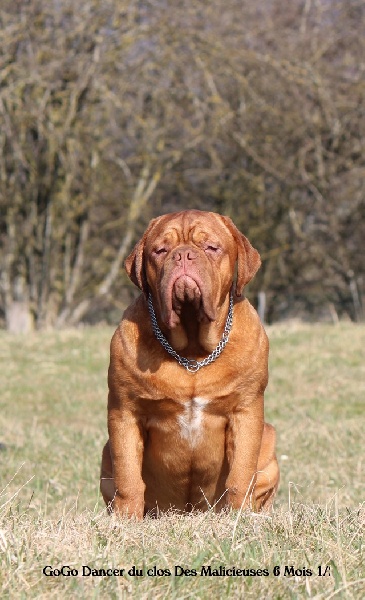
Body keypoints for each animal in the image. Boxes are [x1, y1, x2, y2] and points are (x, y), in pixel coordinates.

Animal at [99, 210, 278, 516]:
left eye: (211, 247)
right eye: (160, 250)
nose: (183, 254)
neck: (193, 353)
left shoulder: (246, 411)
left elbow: (241, 475)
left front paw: (240, 517)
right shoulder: (125, 412)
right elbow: (129, 477)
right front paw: (126, 519)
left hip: (269, 439)